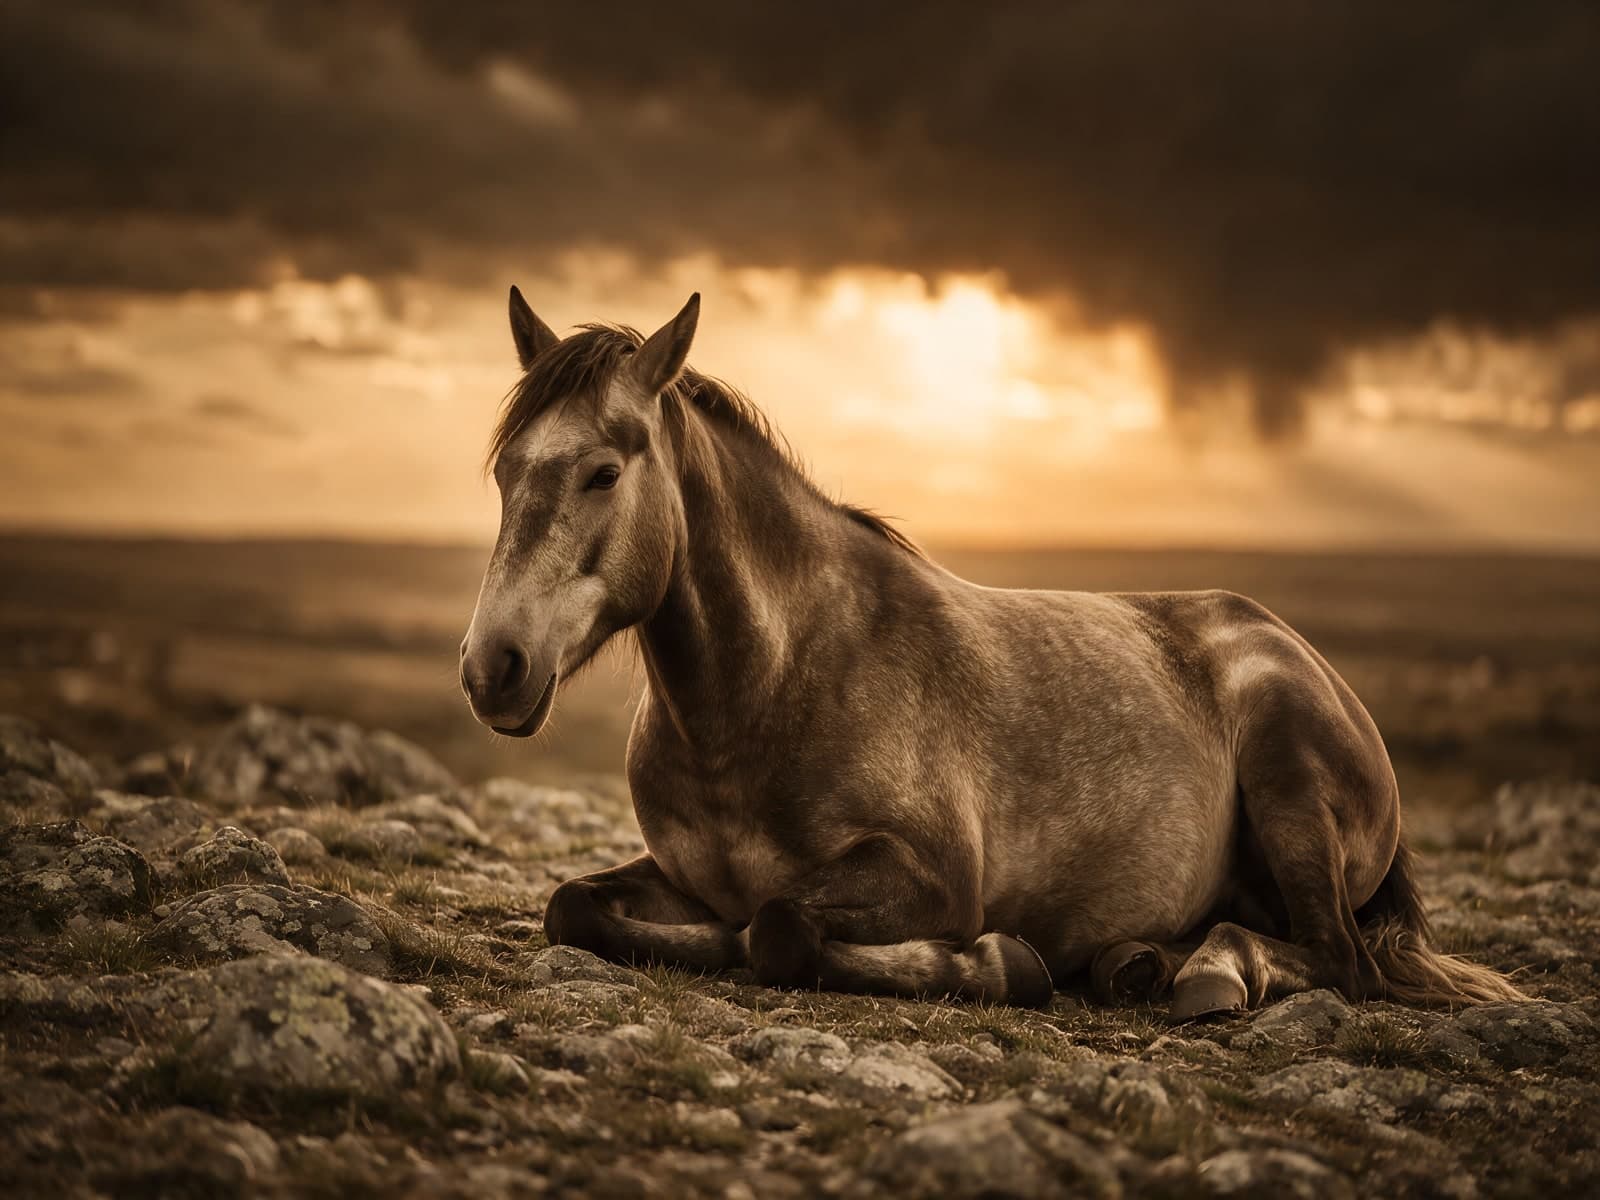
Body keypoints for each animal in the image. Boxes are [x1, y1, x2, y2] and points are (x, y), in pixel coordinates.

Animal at [460, 287, 1523, 1018]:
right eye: (505, 471)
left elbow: (778, 928)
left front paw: (993, 963)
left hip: (1289, 776)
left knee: (1337, 958)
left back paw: (1207, 975)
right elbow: (573, 907)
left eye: (603, 473)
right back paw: (1139, 963)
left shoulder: (929, 879)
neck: (772, 689)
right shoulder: (677, 873)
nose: (491, 668)